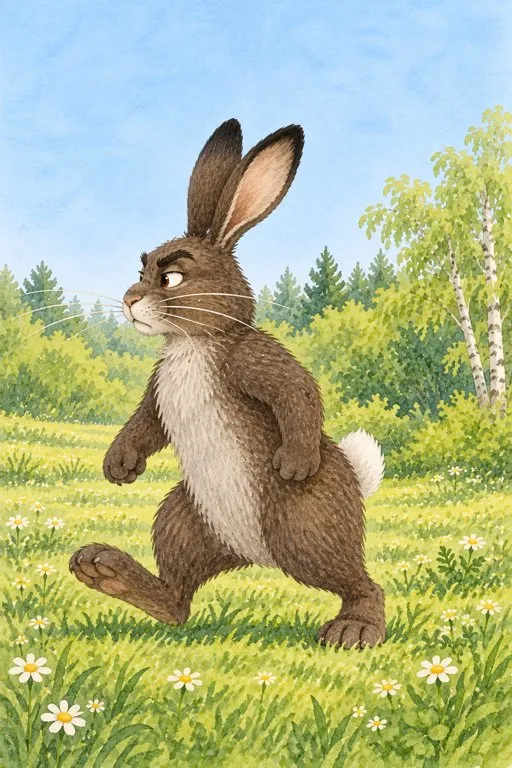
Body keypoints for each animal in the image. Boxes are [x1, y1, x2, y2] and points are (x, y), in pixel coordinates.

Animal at [69, 119, 386, 649]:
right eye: (140, 269)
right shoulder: (156, 393)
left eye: (171, 277)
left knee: (361, 583)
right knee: (178, 600)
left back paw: (352, 630)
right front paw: (119, 467)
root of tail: (255, 557)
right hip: (183, 519)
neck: (194, 343)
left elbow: (296, 391)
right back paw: (101, 569)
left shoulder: (253, 359)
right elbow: (144, 425)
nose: (130, 299)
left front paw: (294, 462)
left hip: (305, 528)